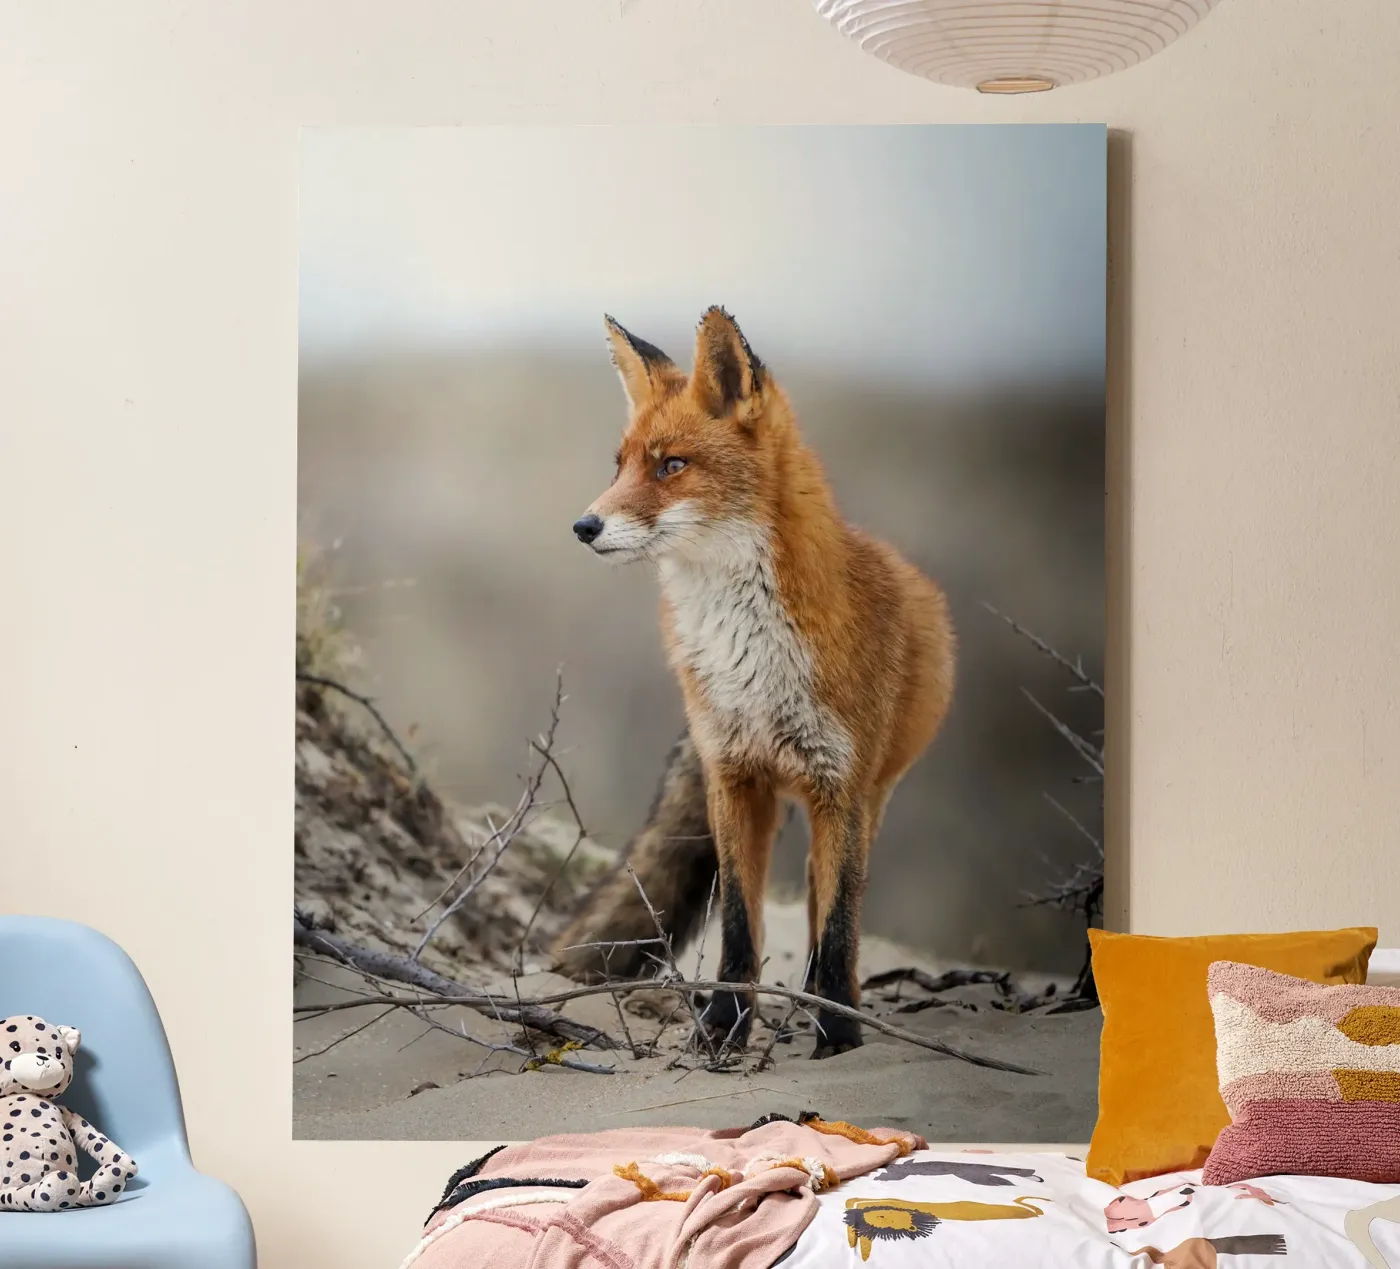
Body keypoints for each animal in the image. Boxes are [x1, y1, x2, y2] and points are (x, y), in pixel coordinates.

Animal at [552, 306, 956, 1058]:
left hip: (867, 801)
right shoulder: (733, 774)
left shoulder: (841, 786)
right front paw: (721, 1028)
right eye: (620, 465)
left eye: (672, 465)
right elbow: (740, 924)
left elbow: (837, 928)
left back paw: (832, 1003)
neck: (751, 658)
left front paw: (838, 1035)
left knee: (831, 909)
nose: (583, 525)